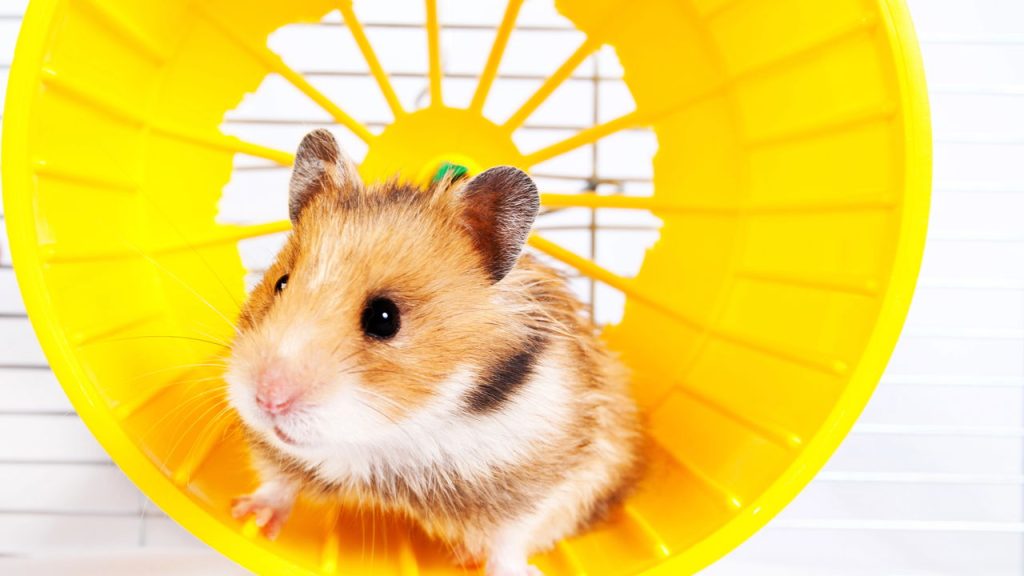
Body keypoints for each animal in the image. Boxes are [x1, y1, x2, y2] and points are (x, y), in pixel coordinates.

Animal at [227, 129, 643, 576]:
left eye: (385, 318)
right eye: (281, 283)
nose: (267, 400)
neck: (394, 433)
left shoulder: (541, 480)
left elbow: (509, 541)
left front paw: (507, 568)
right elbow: (279, 483)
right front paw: (246, 515)